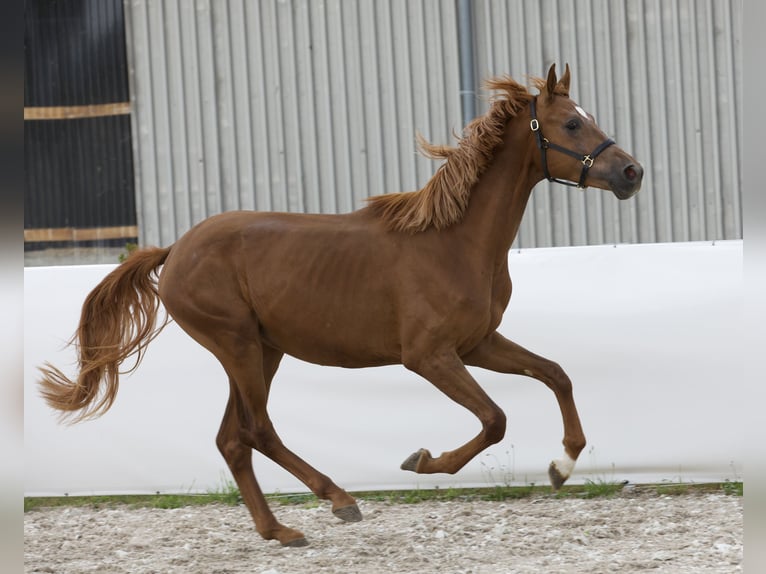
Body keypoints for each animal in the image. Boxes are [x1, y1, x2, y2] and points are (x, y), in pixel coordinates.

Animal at [39, 64, 644, 548]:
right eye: (571, 124)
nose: (631, 172)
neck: (455, 242)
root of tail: (174, 250)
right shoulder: (429, 356)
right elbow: (495, 419)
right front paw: (423, 461)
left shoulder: (478, 344)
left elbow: (556, 374)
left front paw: (562, 466)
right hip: (237, 344)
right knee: (258, 431)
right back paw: (338, 499)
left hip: (262, 351)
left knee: (233, 439)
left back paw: (279, 531)